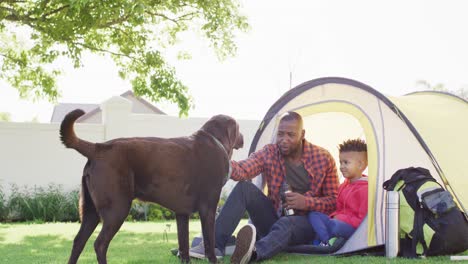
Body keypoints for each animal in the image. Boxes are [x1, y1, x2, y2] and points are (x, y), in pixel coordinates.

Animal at [60, 108, 243, 262]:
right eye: (238, 128)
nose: (242, 138)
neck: (215, 140)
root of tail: (98, 147)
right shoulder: (208, 208)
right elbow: (209, 243)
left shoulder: (182, 213)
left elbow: (184, 246)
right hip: (117, 209)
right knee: (100, 244)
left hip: (91, 212)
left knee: (78, 241)